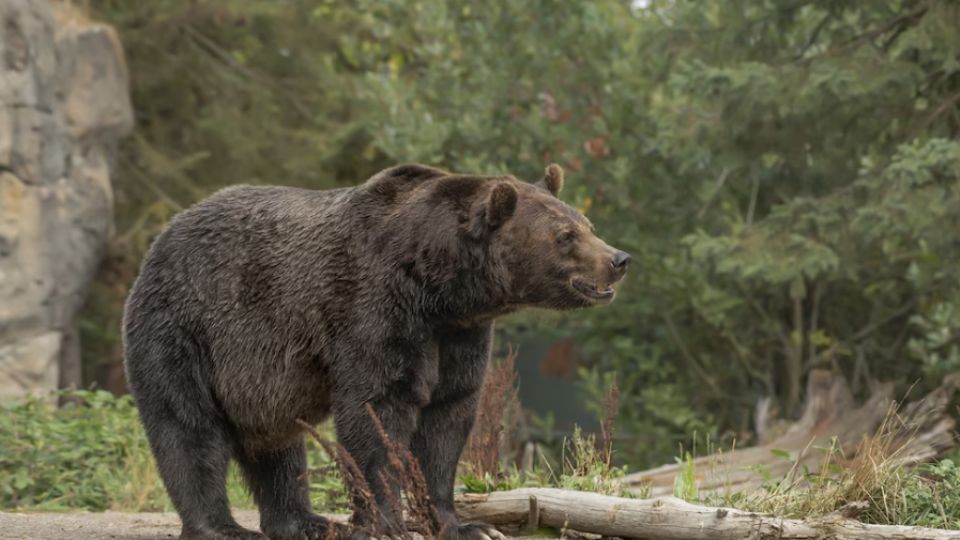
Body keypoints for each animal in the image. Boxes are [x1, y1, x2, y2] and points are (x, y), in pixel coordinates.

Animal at [122, 165, 632, 540]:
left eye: (588, 225)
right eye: (565, 236)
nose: (619, 259)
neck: (438, 286)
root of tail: (161, 238)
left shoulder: (458, 336)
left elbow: (447, 420)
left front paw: (466, 524)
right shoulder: (373, 308)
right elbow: (376, 412)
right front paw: (385, 521)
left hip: (259, 380)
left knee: (278, 447)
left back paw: (306, 521)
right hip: (186, 329)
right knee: (188, 428)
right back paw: (223, 527)